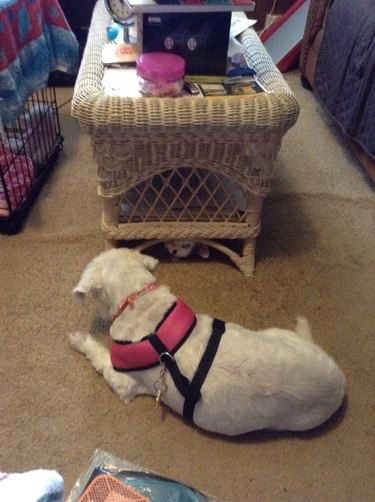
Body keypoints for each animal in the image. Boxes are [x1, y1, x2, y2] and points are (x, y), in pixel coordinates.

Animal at [70, 249, 346, 438]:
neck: (140, 301)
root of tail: (339, 380)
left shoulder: (123, 382)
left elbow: (98, 356)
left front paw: (78, 338)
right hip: (277, 333)